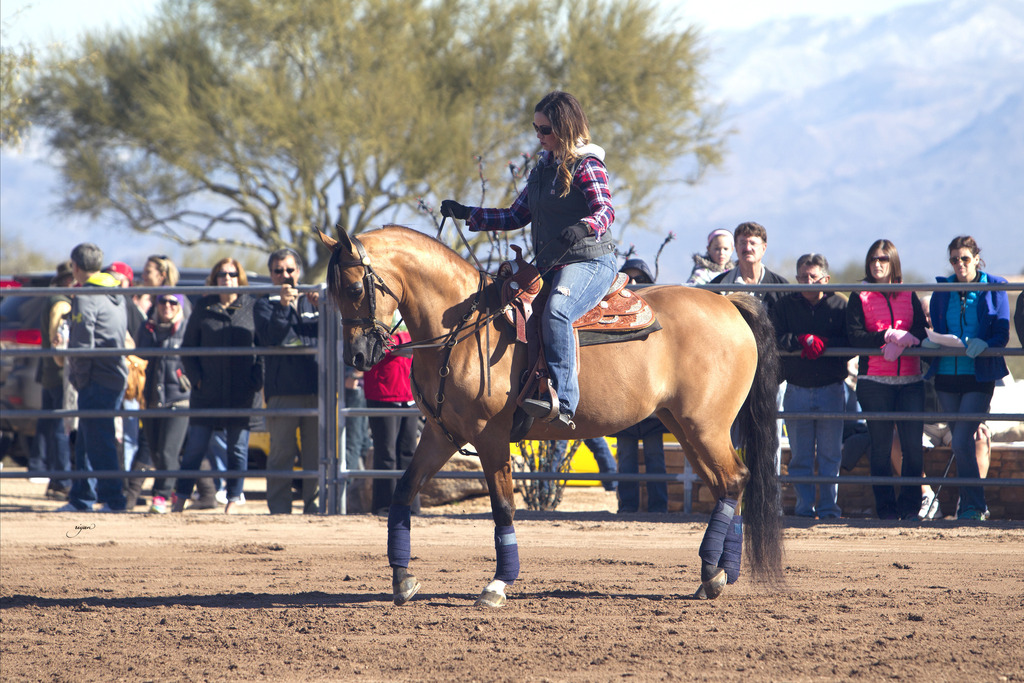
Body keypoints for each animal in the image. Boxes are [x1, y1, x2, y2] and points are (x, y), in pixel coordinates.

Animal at [319, 224, 783, 607]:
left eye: (355, 288)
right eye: (334, 292)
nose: (357, 357)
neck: (462, 328)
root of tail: (730, 305)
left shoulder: (489, 437)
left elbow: (504, 507)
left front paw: (497, 585)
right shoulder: (439, 435)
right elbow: (402, 492)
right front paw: (402, 579)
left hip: (705, 427)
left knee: (734, 480)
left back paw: (716, 573)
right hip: (685, 427)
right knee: (726, 484)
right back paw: (717, 573)